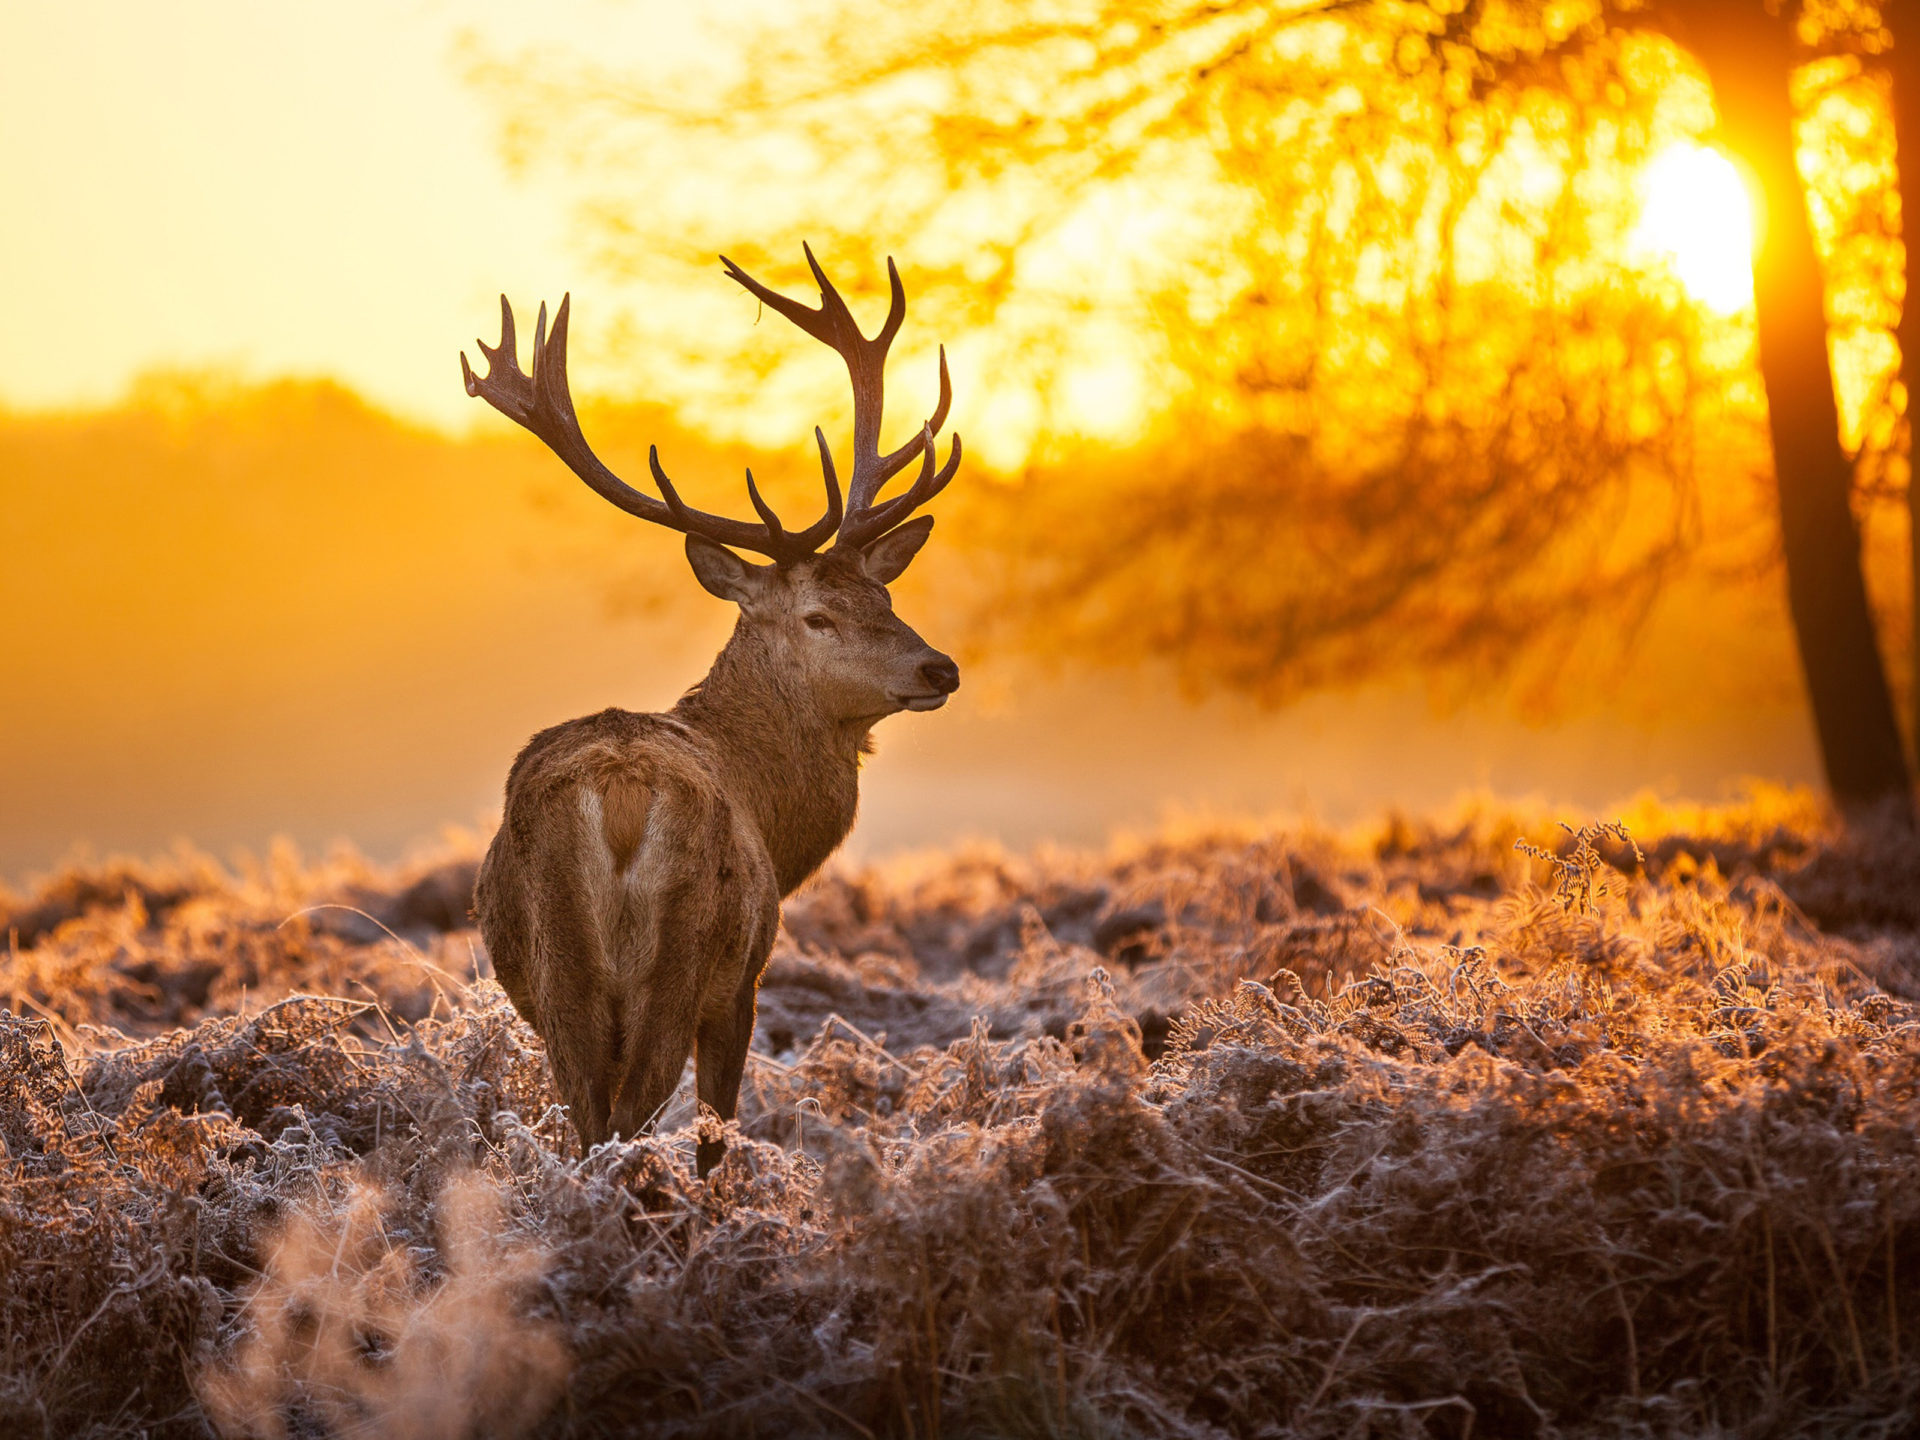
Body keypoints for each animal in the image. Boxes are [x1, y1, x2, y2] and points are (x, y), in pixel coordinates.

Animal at [460, 247, 962, 1175]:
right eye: (818, 616)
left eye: (884, 594)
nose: (938, 666)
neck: (775, 815)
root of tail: (619, 795)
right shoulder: (745, 980)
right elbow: (715, 1134)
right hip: (683, 957)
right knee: (631, 1118)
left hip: (558, 974)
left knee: (589, 1119)